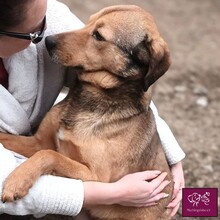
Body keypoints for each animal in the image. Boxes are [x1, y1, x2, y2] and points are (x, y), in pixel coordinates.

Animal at [1, 5, 174, 220]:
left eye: (98, 35)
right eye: (89, 22)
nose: (48, 41)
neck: (90, 97)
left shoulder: (95, 177)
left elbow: (50, 155)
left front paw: (17, 181)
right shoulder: (38, 142)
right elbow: (26, 144)